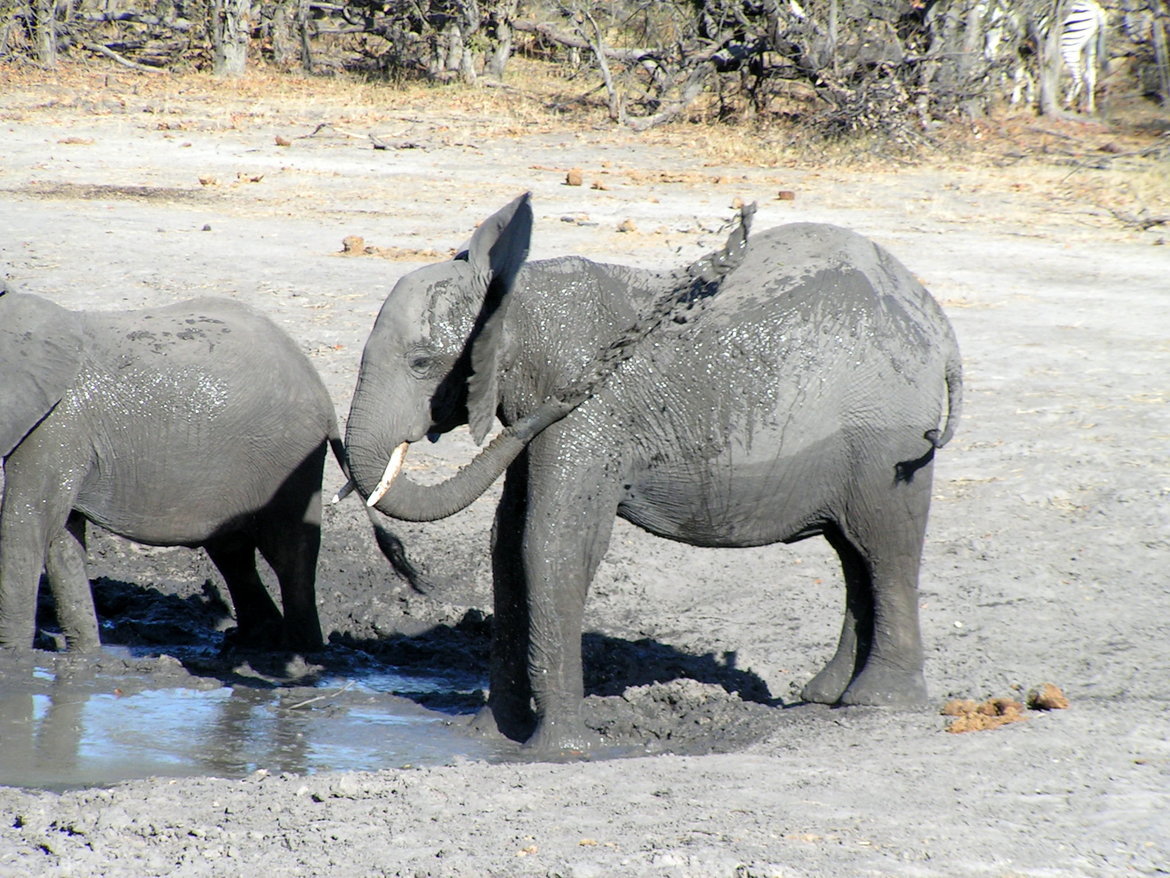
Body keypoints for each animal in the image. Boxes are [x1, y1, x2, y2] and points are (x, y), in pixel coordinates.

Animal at [1, 289, 347, 652]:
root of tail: (318, 384)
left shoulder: (53, 425)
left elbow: (26, 521)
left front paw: (14, 659)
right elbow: (61, 537)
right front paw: (86, 656)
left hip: (288, 455)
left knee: (289, 552)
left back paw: (300, 652)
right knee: (233, 552)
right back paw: (255, 643)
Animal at [343, 194, 963, 753]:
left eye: (422, 363)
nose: (579, 389)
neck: (518, 293)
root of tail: (935, 318)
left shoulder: (590, 419)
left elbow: (552, 541)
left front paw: (562, 751)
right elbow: (508, 541)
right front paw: (490, 737)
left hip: (889, 434)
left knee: (885, 543)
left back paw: (877, 702)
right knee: (854, 554)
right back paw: (826, 695)